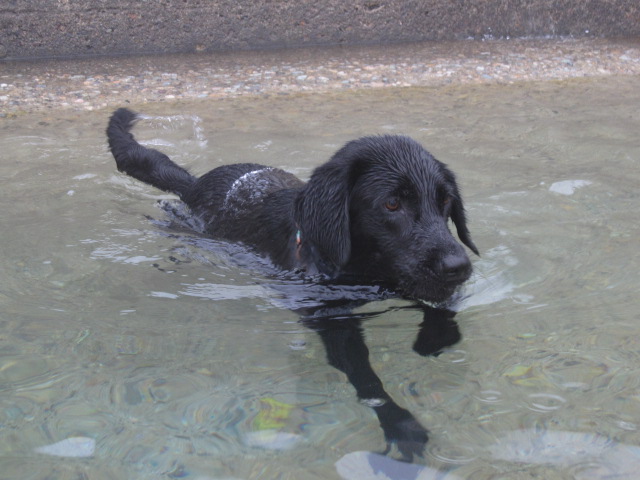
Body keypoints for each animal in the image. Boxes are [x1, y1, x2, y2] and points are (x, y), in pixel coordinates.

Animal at [105, 109, 478, 462]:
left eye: (445, 201)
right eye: (392, 203)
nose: (458, 267)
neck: (363, 272)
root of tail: (197, 183)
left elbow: (444, 309)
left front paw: (432, 340)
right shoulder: (331, 318)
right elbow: (366, 377)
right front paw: (401, 425)